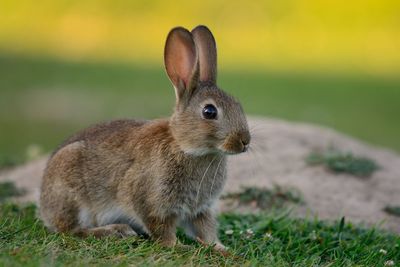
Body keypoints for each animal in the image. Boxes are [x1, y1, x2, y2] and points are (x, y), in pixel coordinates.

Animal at [38, 25, 250, 251]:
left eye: (238, 104)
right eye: (209, 112)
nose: (245, 141)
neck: (185, 147)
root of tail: (43, 204)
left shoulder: (201, 209)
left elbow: (206, 230)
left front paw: (221, 249)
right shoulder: (151, 201)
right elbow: (161, 228)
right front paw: (177, 246)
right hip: (73, 194)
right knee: (71, 230)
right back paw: (116, 231)